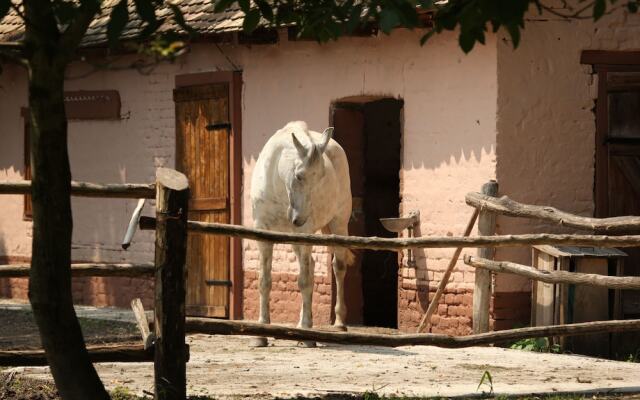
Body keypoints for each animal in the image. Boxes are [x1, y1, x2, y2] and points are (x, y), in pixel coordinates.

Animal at [250, 120, 352, 346]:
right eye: (299, 176)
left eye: (321, 177)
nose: (300, 219)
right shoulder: (263, 233)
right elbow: (264, 281)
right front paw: (260, 333)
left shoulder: (304, 234)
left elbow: (305, 281)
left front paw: (306, 333)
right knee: (312, 266)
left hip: (338, 224)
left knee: (338, 268)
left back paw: (339, 323)